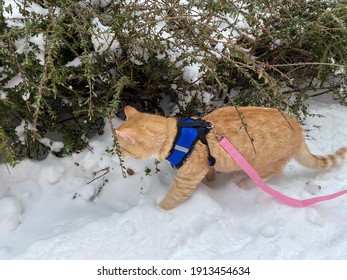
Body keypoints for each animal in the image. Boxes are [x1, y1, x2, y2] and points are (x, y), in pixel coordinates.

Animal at [115, 105, 346, 210]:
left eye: (122, 148)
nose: (118, 153)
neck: (177, 135)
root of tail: (298, 129)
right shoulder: (205, 164)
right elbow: (210, 172)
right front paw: (210, 181)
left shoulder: (186, 179)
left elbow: (172, 198)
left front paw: (157, 211)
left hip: (266, 163)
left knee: (268, 174)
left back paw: (245, 182)